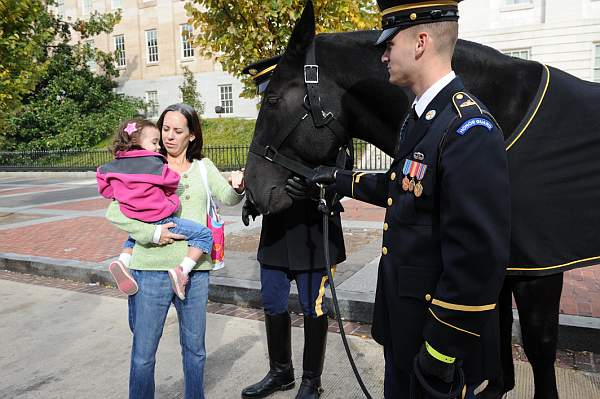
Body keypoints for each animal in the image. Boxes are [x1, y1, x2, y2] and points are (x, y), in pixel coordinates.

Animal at [244, 3, 600, 399]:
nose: (251, 189)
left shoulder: (538, 268)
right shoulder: (503, 264)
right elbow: (497, 340)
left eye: (272, 100)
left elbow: (538, 344)